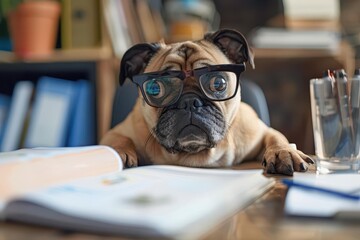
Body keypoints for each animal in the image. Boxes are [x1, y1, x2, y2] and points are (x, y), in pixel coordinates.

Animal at [100, 29, 314, 175]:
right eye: (155, 89)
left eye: (218, 83)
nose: (189, 102)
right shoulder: (118, 132)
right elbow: (118, 139)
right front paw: (118, 153)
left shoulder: (259, 132)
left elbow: (277, 137)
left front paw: (283, 152)